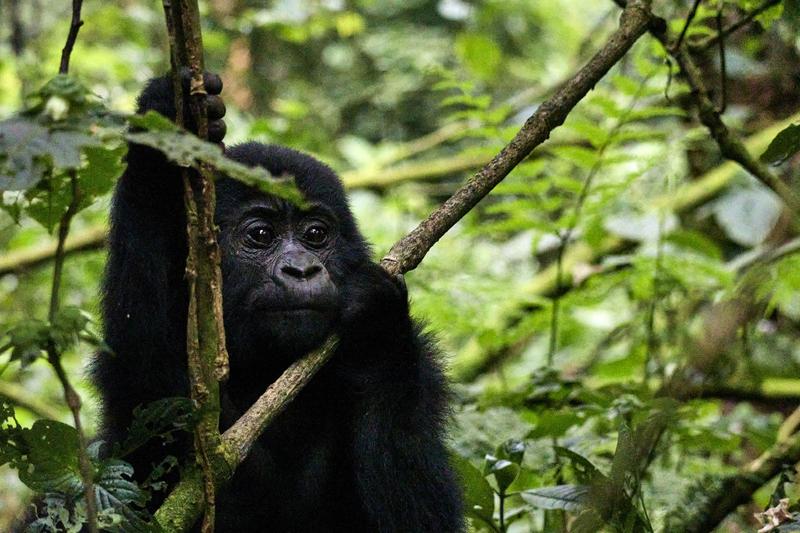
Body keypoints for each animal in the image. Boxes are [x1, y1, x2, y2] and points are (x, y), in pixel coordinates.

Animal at [92, 72, 468, 528]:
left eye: (316, 234)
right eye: (260, 235)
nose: (302, 269)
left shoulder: (422, 371)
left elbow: (422, 518)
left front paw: (377, 331)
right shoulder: (138, 384)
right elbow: (144, 361)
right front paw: (160, 144)